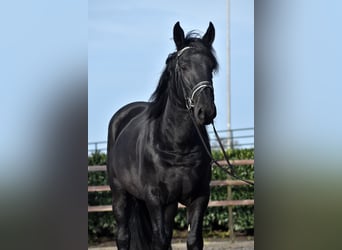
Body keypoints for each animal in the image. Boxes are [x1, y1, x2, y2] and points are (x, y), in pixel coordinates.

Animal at [107, 22, 219, 250]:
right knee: (123, 236)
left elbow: (193, 239)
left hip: (169, 205)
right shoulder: (155, 199)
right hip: (120, 195)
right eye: (183, 66)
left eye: (211, 67)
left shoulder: (199, 197)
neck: (177, 145)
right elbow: (159, 240)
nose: (206, 111)